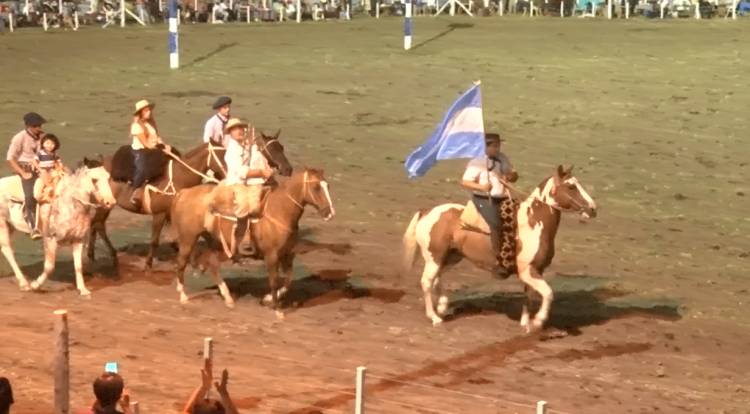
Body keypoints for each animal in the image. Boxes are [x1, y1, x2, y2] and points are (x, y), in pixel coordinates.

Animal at [0, 163, 116, 296]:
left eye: (108, 178)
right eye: (94, 180)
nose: (110, 202)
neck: (70, 204)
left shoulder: (78, 240)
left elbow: (78, 266)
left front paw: (83, 290)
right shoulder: (50, 239)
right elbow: (49, 266)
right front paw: (35, 285)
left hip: (9, 226)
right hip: (2, 225)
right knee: (8, 251)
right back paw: (24, 284)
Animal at [88, 131, 294, 270]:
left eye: (282, 147)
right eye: (223, 156)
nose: (288, 169)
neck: (179, 176)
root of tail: (96, 163)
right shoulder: (160, 214)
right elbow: (155, 240)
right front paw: (148, 264)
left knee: (95, 224)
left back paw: (93, 255)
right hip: (105, 206)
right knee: (98, 224)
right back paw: (112, 256)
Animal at [172, 167, 336, 308]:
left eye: (328, 186)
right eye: (316, 187)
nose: (330, 213)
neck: (279, 210)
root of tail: (184, 193)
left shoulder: (287, 254)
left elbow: (288, 280)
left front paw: (268, 298)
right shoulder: (271, 256)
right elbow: (274, 281)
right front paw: (275, 306)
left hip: (213, 240)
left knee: (213, 264)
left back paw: (228, 297)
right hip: (188, 238)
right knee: (181, 263)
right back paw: (183, 296)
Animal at [406, 167, 600, 332]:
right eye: (571, 186)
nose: (592, 209)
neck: (533, 224)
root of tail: (426, 212)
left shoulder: (536, 271)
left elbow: (529, 296)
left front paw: (525, 323)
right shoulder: (528, 271)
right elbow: (548, 293)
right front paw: (538, 321)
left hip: (450, 257)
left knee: (437, 278)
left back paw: (442, 306)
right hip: (434, 258)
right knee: (427, 282)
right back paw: (434, 317)